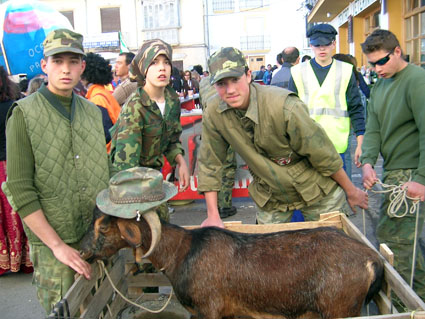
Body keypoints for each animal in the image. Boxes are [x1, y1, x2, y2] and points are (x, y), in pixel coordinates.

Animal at [79, 208, 384, 319]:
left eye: (103, 226)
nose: (81, 252)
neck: (182, 252)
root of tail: (372, 260)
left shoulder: (209, 310)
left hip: (340, 309)